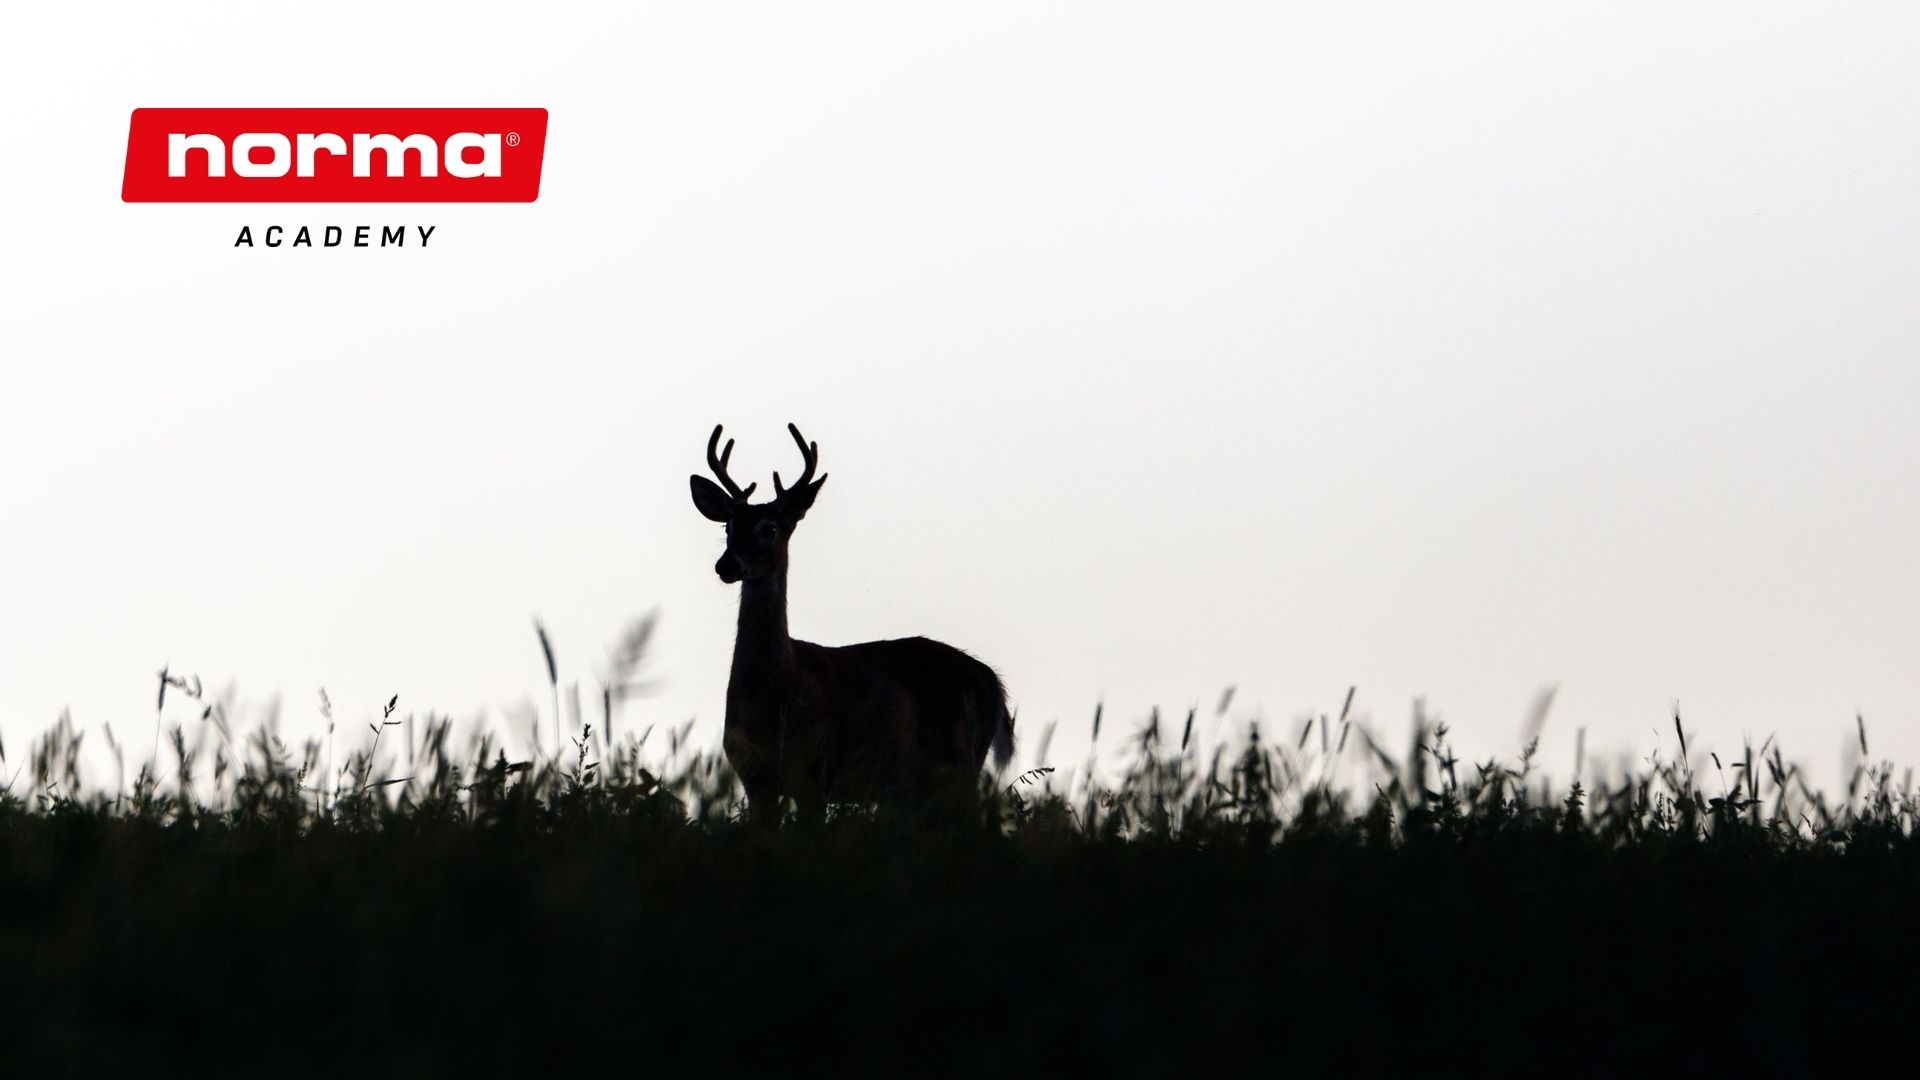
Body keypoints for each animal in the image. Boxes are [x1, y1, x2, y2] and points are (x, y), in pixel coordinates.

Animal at [695, 420, 1021, 814]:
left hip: (957, 760)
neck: (774, 691)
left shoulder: (815, 774)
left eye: (769, 528)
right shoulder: (754, 779)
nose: (726, 565)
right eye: (728, 527)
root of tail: (991, 680)